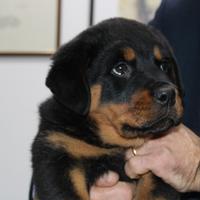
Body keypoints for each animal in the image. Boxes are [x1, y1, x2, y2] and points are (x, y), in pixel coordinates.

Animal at [31, 17, 184, 200]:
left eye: (164, 66)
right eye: (120, 68)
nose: (169, 94)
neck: (112, 145)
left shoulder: (158, 167)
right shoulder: (57, 153)